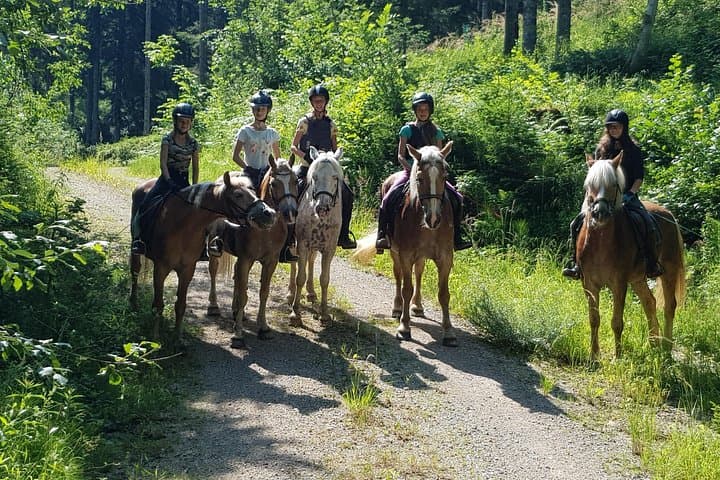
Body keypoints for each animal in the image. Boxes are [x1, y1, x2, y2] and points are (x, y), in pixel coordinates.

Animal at [129, 172, 275, 347]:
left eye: (253, 191)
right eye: (238, 195)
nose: (269, 214)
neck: (183, 225)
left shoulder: (187, 269)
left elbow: (181, 305)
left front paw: (178, 339)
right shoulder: (161, 268)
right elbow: (158, 305)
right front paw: (155, 339)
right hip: (136, 250)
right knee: (135, 272)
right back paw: (133, 303)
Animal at [206, 159, 298, 348]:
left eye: (295, 181)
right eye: (274, 183)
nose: (290, 212)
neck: (265, 230)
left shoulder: (270, 262)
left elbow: (264, 292)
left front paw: (263, 328)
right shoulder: (246, 259)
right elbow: (243, 294)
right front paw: (238, 335)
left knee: (236, 277)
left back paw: (235, 312)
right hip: (216, 250)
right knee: (213, 271)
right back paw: (214, 306)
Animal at [288, 147, 344, 327]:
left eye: (335, 177)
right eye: (314, 177)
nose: (322, 207)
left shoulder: (329, 249)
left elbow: (324, 279)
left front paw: (324, 314)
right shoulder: (302, 243)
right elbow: (300, 277)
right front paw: (295, 313)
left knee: (311, 261)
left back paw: (311, 293)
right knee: (294, 263)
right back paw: (290, 293)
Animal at [353, 142, 458, 347]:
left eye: (444, 177)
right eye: (419, 178)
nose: (433, 218)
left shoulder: (445, 258)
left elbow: (443, 294)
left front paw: (449, 332)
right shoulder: (405, 255)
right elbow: (406, 289)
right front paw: (404, 328)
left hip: (422, 256)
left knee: (419, 273)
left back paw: (417, 306)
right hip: (395, 252)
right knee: (398, 276)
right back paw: (397, 308)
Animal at [576, 152, 686, 360]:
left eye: (614, 184)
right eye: (589, 185)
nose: (599, 213)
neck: (601, 242)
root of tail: (669, 214)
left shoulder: (619, 283)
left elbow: (617, 322)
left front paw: (617, 357)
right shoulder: (589, 283)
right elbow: (594, 319)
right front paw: (593, 356)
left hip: (668, 271)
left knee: (669, 306)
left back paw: (666, 349)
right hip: (638, 279)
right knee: (649, 302)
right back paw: (653, 343)